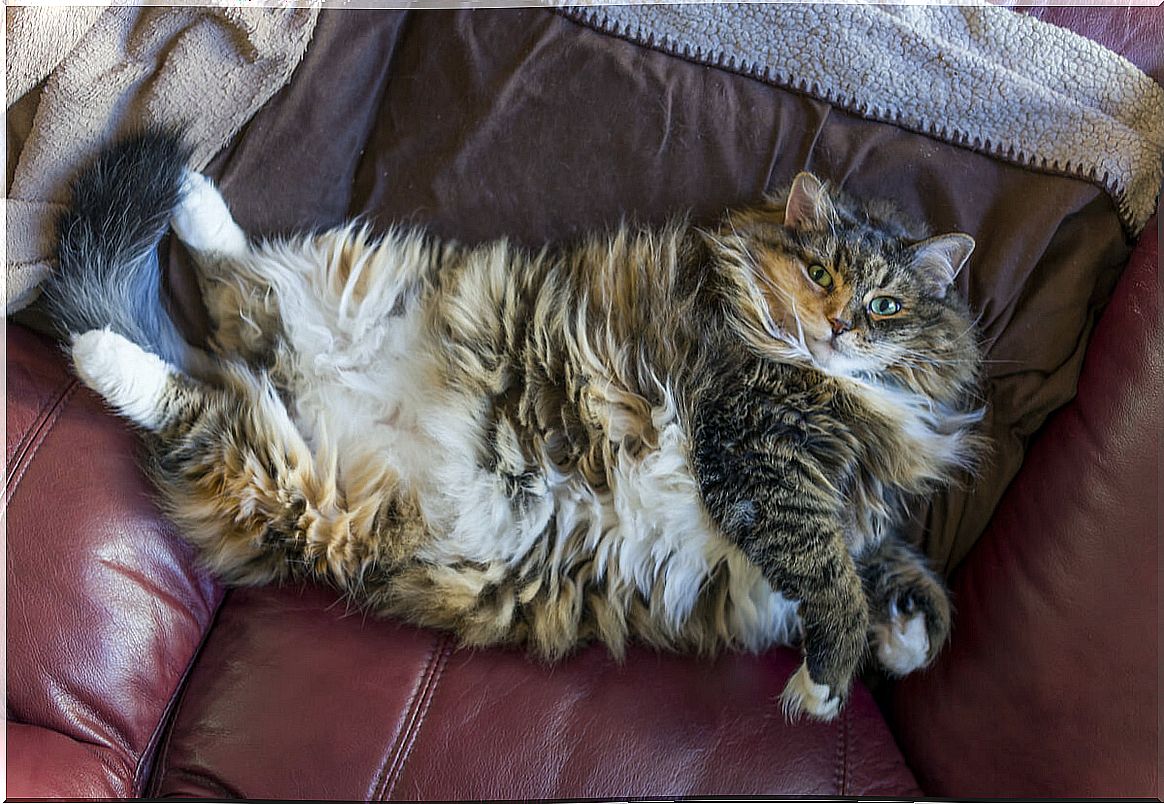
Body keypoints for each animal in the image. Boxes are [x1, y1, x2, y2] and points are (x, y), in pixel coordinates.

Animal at [41, 129, 982, 721]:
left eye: (887, 305)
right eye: (820, 273)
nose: (842, 328)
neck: (823, 378)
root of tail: (294, 378)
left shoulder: (847, 511)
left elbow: (896, 572)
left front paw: (903, 637)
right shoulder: (759, 454)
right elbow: (831, 576)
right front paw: (826, 684)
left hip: (297, 470)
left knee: (233, 304)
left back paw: (187, 212)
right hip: (310, 386)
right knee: (205, 343)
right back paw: (120, 311)